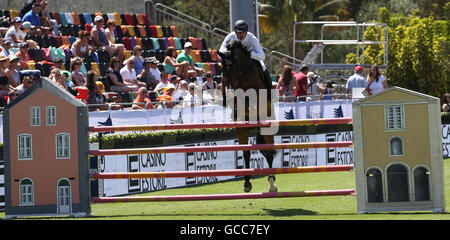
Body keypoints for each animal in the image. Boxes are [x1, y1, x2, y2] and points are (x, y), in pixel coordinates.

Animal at [216, 39, 276, 193]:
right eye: (223, 69)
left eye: (235, 66)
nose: (231, 89)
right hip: (242, 130)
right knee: (246, 152)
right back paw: (247, 182)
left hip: (267, 126)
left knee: (269, 153)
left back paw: (272, 184)